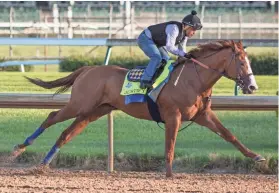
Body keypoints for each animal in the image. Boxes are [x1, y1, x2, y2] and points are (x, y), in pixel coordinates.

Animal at [11, 40, 264, 177]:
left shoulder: (203, 115)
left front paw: (257, 157)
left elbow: (229, 135)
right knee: (52, 116)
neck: (193, 79)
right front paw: (170, 174)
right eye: (242, 62)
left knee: (66, 134)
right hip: (79, 104)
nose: (252, 86)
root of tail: (88, 69)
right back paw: (19, 148)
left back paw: (42, 165)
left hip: (93, 112)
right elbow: (170, 145)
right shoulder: (173, 115)